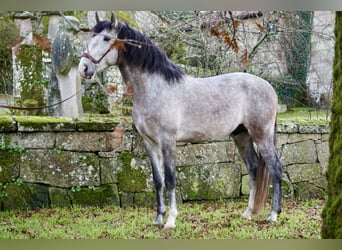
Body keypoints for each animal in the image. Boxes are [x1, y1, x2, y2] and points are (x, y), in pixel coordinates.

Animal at [79, 13, 282, 229]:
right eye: (91, 36)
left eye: (106, 38)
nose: (84, 68)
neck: (155, 88)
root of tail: (268, 87)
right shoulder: (149, 143)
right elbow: (158, 180)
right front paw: (158, 218)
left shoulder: (168, 141)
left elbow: (170, 179)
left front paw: (171, 220)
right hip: (241, 135)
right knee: (253, 169)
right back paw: (248, 213)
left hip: (262, 135)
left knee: (275, 169)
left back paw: (273, 215)